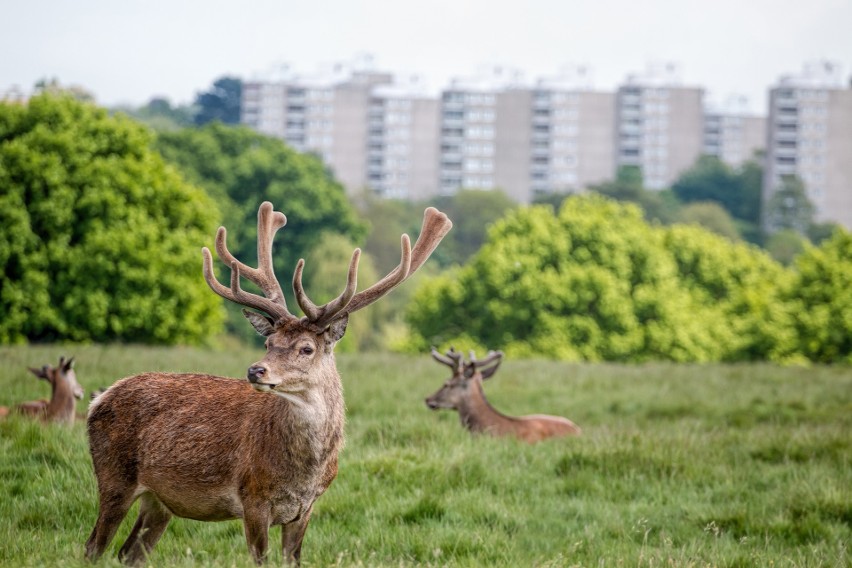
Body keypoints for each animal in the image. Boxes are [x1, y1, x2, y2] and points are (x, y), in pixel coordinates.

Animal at [86, 202, 452, 564]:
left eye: (306, 348)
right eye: (268, 342)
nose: (255, 371)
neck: (305, 472)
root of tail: (97, 400)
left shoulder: (305, 509)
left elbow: (293, 558)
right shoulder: (253, 497)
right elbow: (259, 557)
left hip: (160, 501)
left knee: (127, 553)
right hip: (114, 476)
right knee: (93, 547)